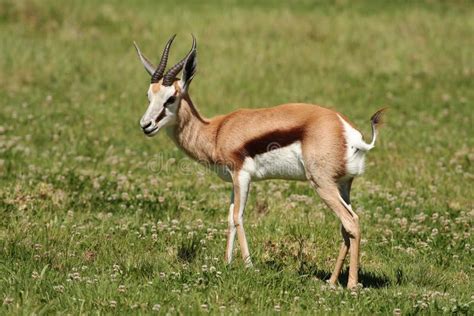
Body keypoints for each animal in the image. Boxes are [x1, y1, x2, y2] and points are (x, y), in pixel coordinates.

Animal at [132, 34, 386, 288]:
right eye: (148, 96)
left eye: (171, 98)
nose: (146, 125)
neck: (216, 131)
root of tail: (349, 132)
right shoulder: (233, 180)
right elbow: (229, 218)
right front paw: (226, 264)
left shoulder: (242, 176)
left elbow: (238, 217)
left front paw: (248, 266)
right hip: (342, 185)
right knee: (345, 228)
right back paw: (331, 281)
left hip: (322, 184)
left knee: (351, 222)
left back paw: (351, 285)